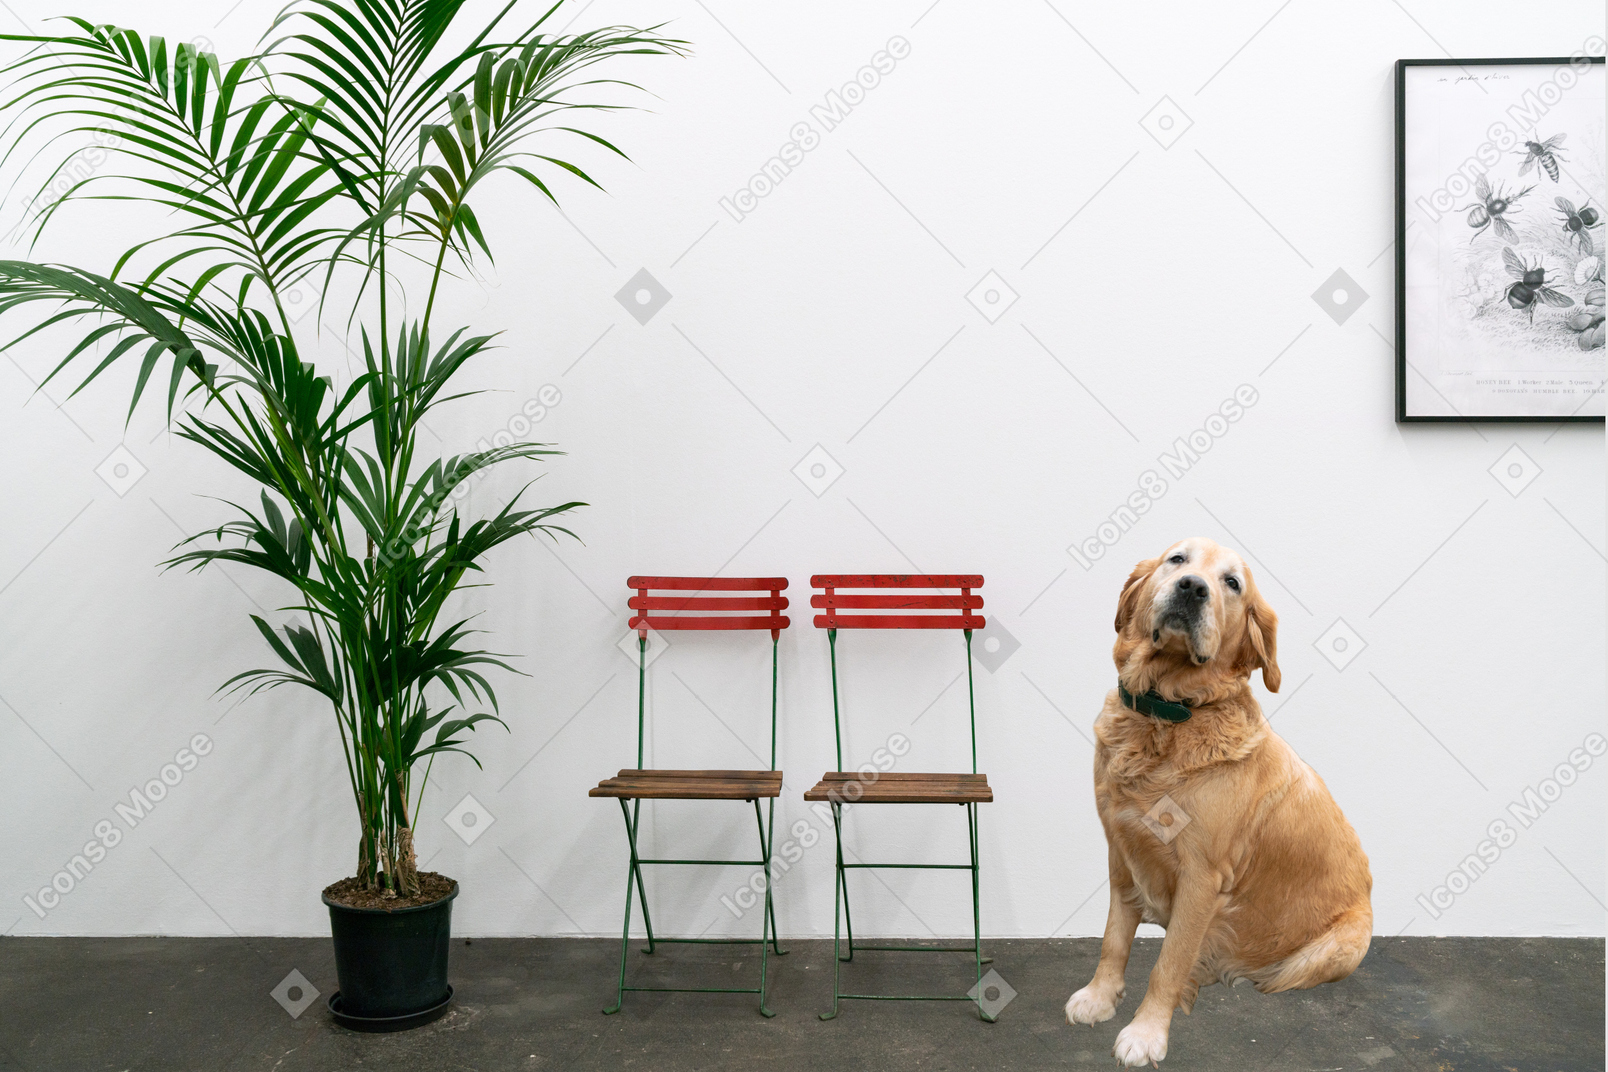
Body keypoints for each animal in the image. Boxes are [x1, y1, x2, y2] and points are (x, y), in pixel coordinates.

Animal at [1067, 536, 1370, 1067]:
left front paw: (1146, 1033)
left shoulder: (1202, 877)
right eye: (1177, 560)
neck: (1167, 712)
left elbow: (1168, 963)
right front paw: (1100, 997)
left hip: (1336, 946)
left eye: (1232, 583)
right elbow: (1113, 939)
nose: (1192, 588)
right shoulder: (1121, 852)